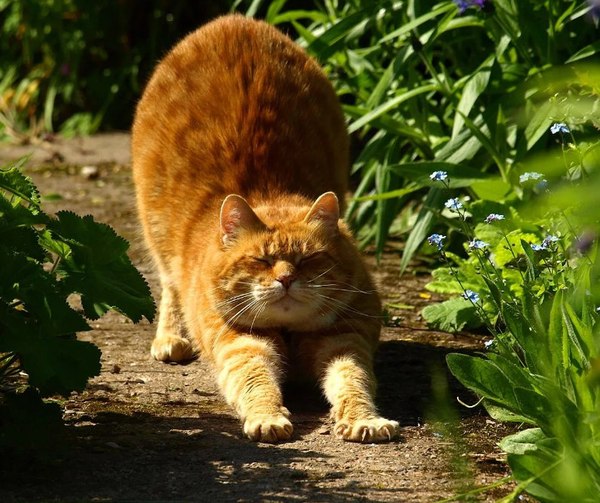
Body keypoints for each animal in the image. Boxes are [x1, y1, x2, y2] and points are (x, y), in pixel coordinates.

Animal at [134, 13, 400, 442]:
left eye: (309, 260)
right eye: (260, 260)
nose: (286, 279)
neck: (288, 331)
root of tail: (232, 21)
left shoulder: (344, 340)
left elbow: (352, 381)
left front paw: (364, 420)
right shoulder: (241, 342)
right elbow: (255, 381)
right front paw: (268, 417)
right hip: (157, 235)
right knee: (170, 286)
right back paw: (172, 338)